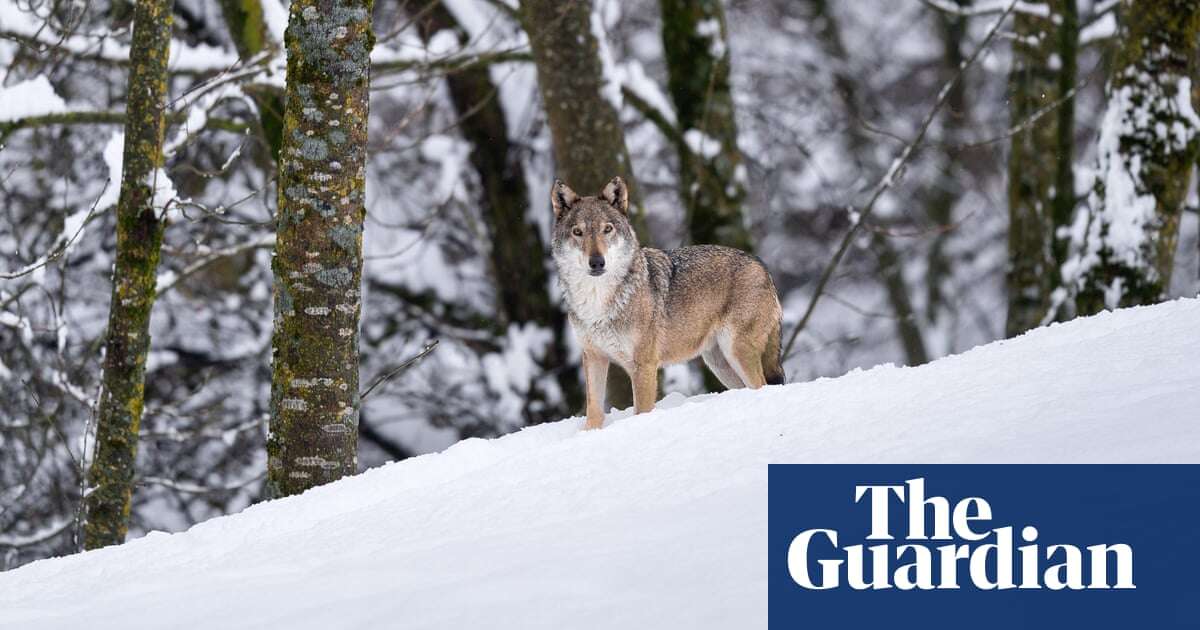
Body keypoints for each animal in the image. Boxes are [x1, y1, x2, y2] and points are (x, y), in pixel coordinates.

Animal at [549, 176, 782, 429]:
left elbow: (641, 411)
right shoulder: (593, 357)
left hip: (737, 351)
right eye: (578, 232)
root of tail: (762, 266)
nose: (597, 262)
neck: (597, 301)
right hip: (721, 364)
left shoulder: (644, 366)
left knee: (762, 384)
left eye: (607, 229)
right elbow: (593, 411)